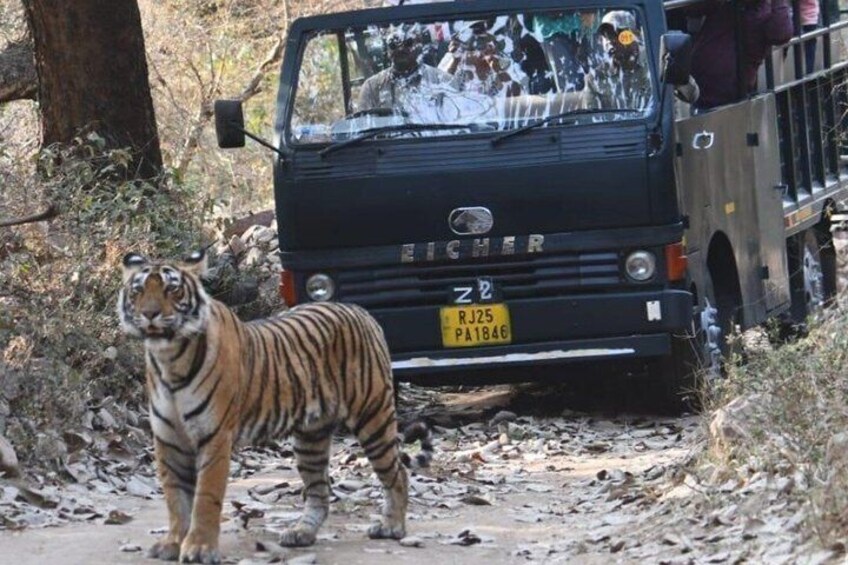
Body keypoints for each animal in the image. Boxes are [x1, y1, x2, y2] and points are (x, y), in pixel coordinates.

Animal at [117, 250, 433, 564]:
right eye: (138, 291)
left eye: (172, 289)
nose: (149, 314)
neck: (169, 358)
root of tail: (360, 311)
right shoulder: (169, 439)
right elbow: (175, 498)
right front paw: (172, 543)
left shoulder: (214, 437)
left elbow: (205, 497)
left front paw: (199, 548)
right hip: (310, 439)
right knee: (320, 491)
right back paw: (301, 533)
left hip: (373, 417)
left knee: (397, 474)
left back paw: (392, 526)